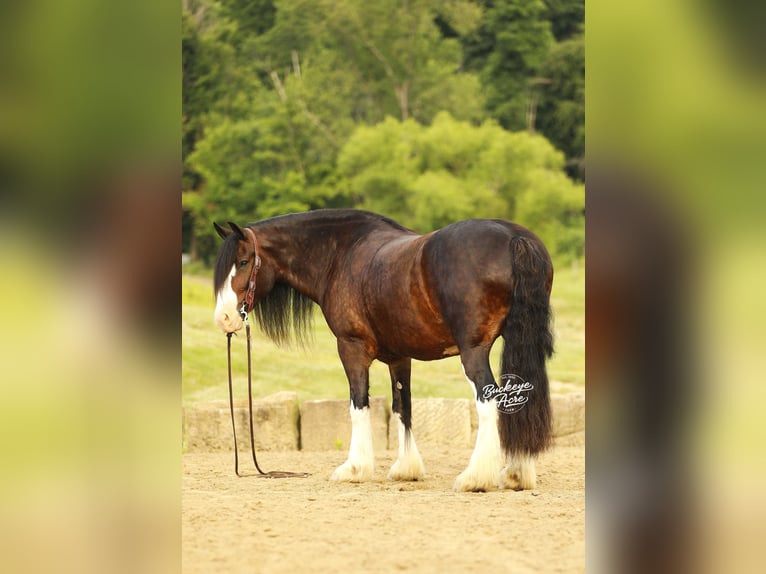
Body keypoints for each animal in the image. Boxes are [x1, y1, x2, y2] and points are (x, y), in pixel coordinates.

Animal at [212, 209, 554, 492]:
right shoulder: (399, 357)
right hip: (519, 341)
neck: (340, 255)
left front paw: (354, 469)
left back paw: (475, 477)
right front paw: (406, 469)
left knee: (488, 399)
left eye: (243, 262)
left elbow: (358, 404)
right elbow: (402, 406)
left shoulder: (351, 347)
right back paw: (517, 475)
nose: (225, 318)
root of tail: (514, 238)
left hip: (473, 352)